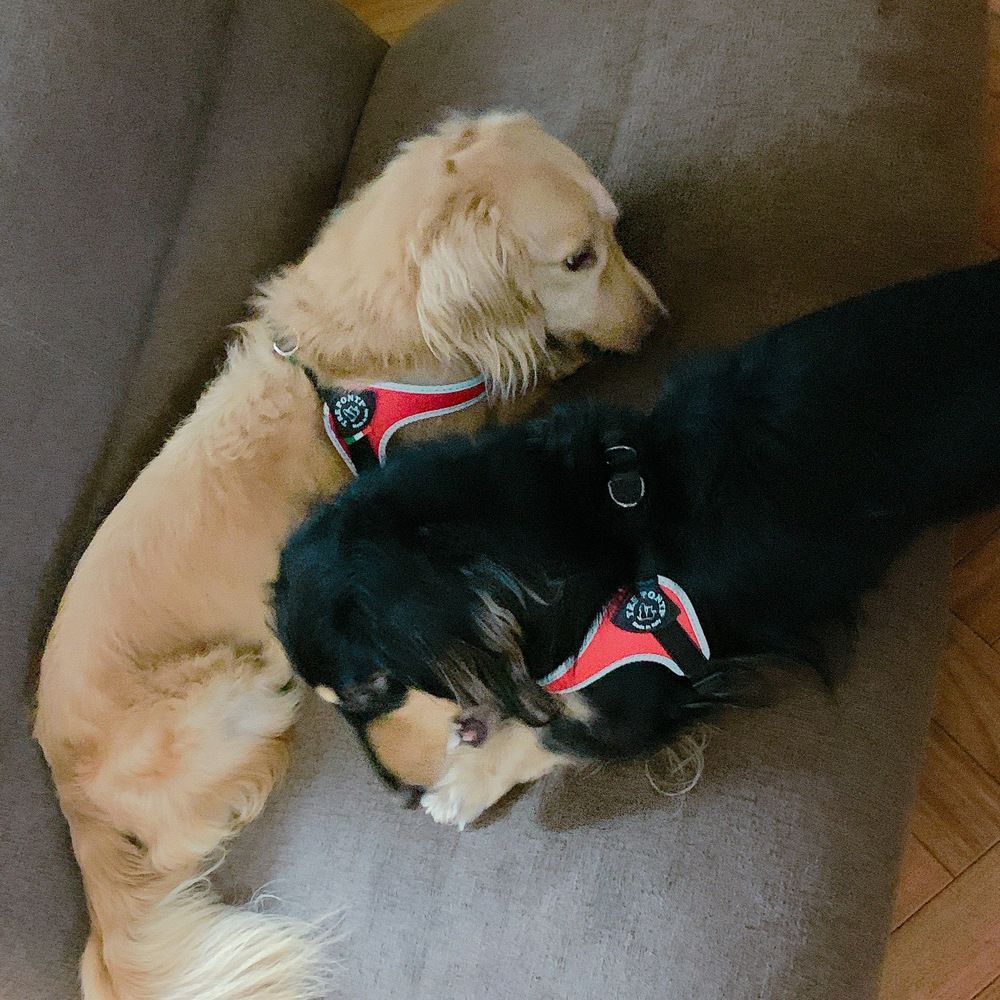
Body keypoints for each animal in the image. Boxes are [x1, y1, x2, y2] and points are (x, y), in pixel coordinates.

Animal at [33, 111, 661, 999]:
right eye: (577, 257)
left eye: (614, 230)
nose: (658, 319)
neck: (364, 349)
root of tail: (63, 785)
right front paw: (550, 359)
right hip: (230, 688)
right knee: (185, 838)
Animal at [274, 256, 1000, 830]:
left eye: (368, 689)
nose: (397, 796)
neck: (586, 523)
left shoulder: (643, 690)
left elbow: (555, 736)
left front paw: (461, 789)